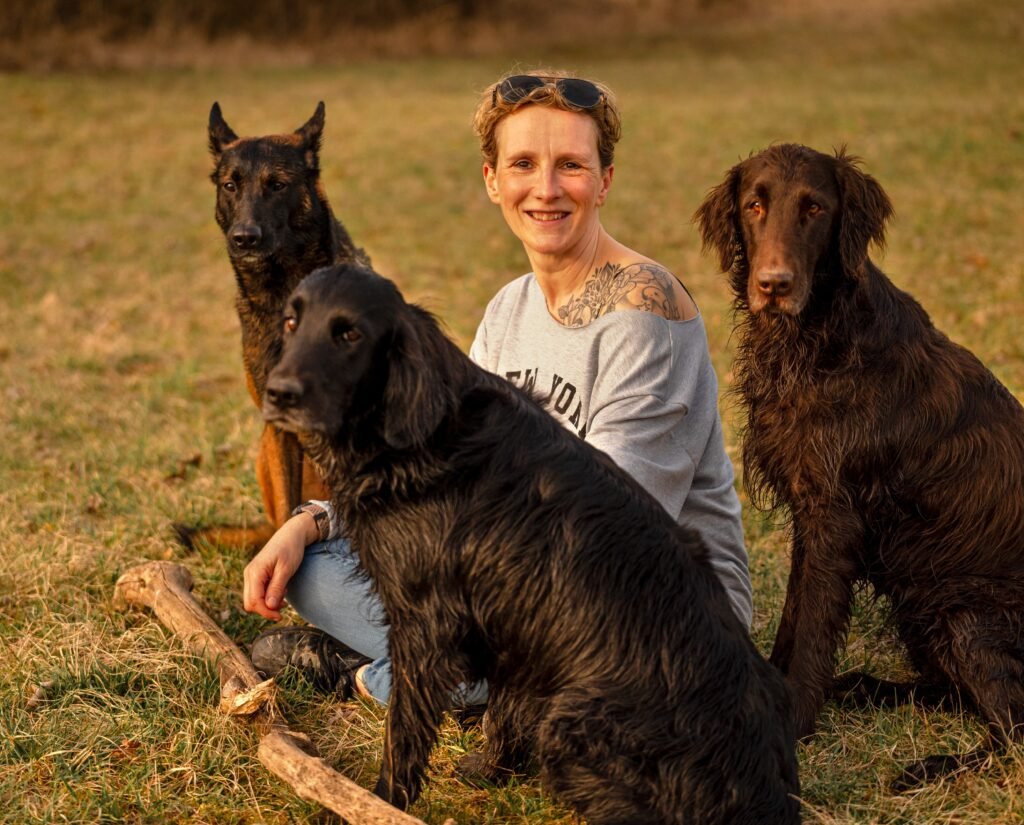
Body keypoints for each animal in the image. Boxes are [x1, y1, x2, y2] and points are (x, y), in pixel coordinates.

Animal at [174, 102, 369, 552]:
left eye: (277, 185)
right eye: (230, 185)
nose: (244, 238)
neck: (285, 297)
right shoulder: (280, 430)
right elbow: (286, 513)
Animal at [695, 143, 1024, 788]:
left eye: (815, 208)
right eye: (754, 205)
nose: (774, 285)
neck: (822, 337)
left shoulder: (835, 518)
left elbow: (814, 632)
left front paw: (796, 721)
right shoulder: (811, 512)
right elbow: (796, 615)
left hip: (968, 613)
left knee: (1013, 730)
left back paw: (927, 766)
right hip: (925, 611)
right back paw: (865, 689)